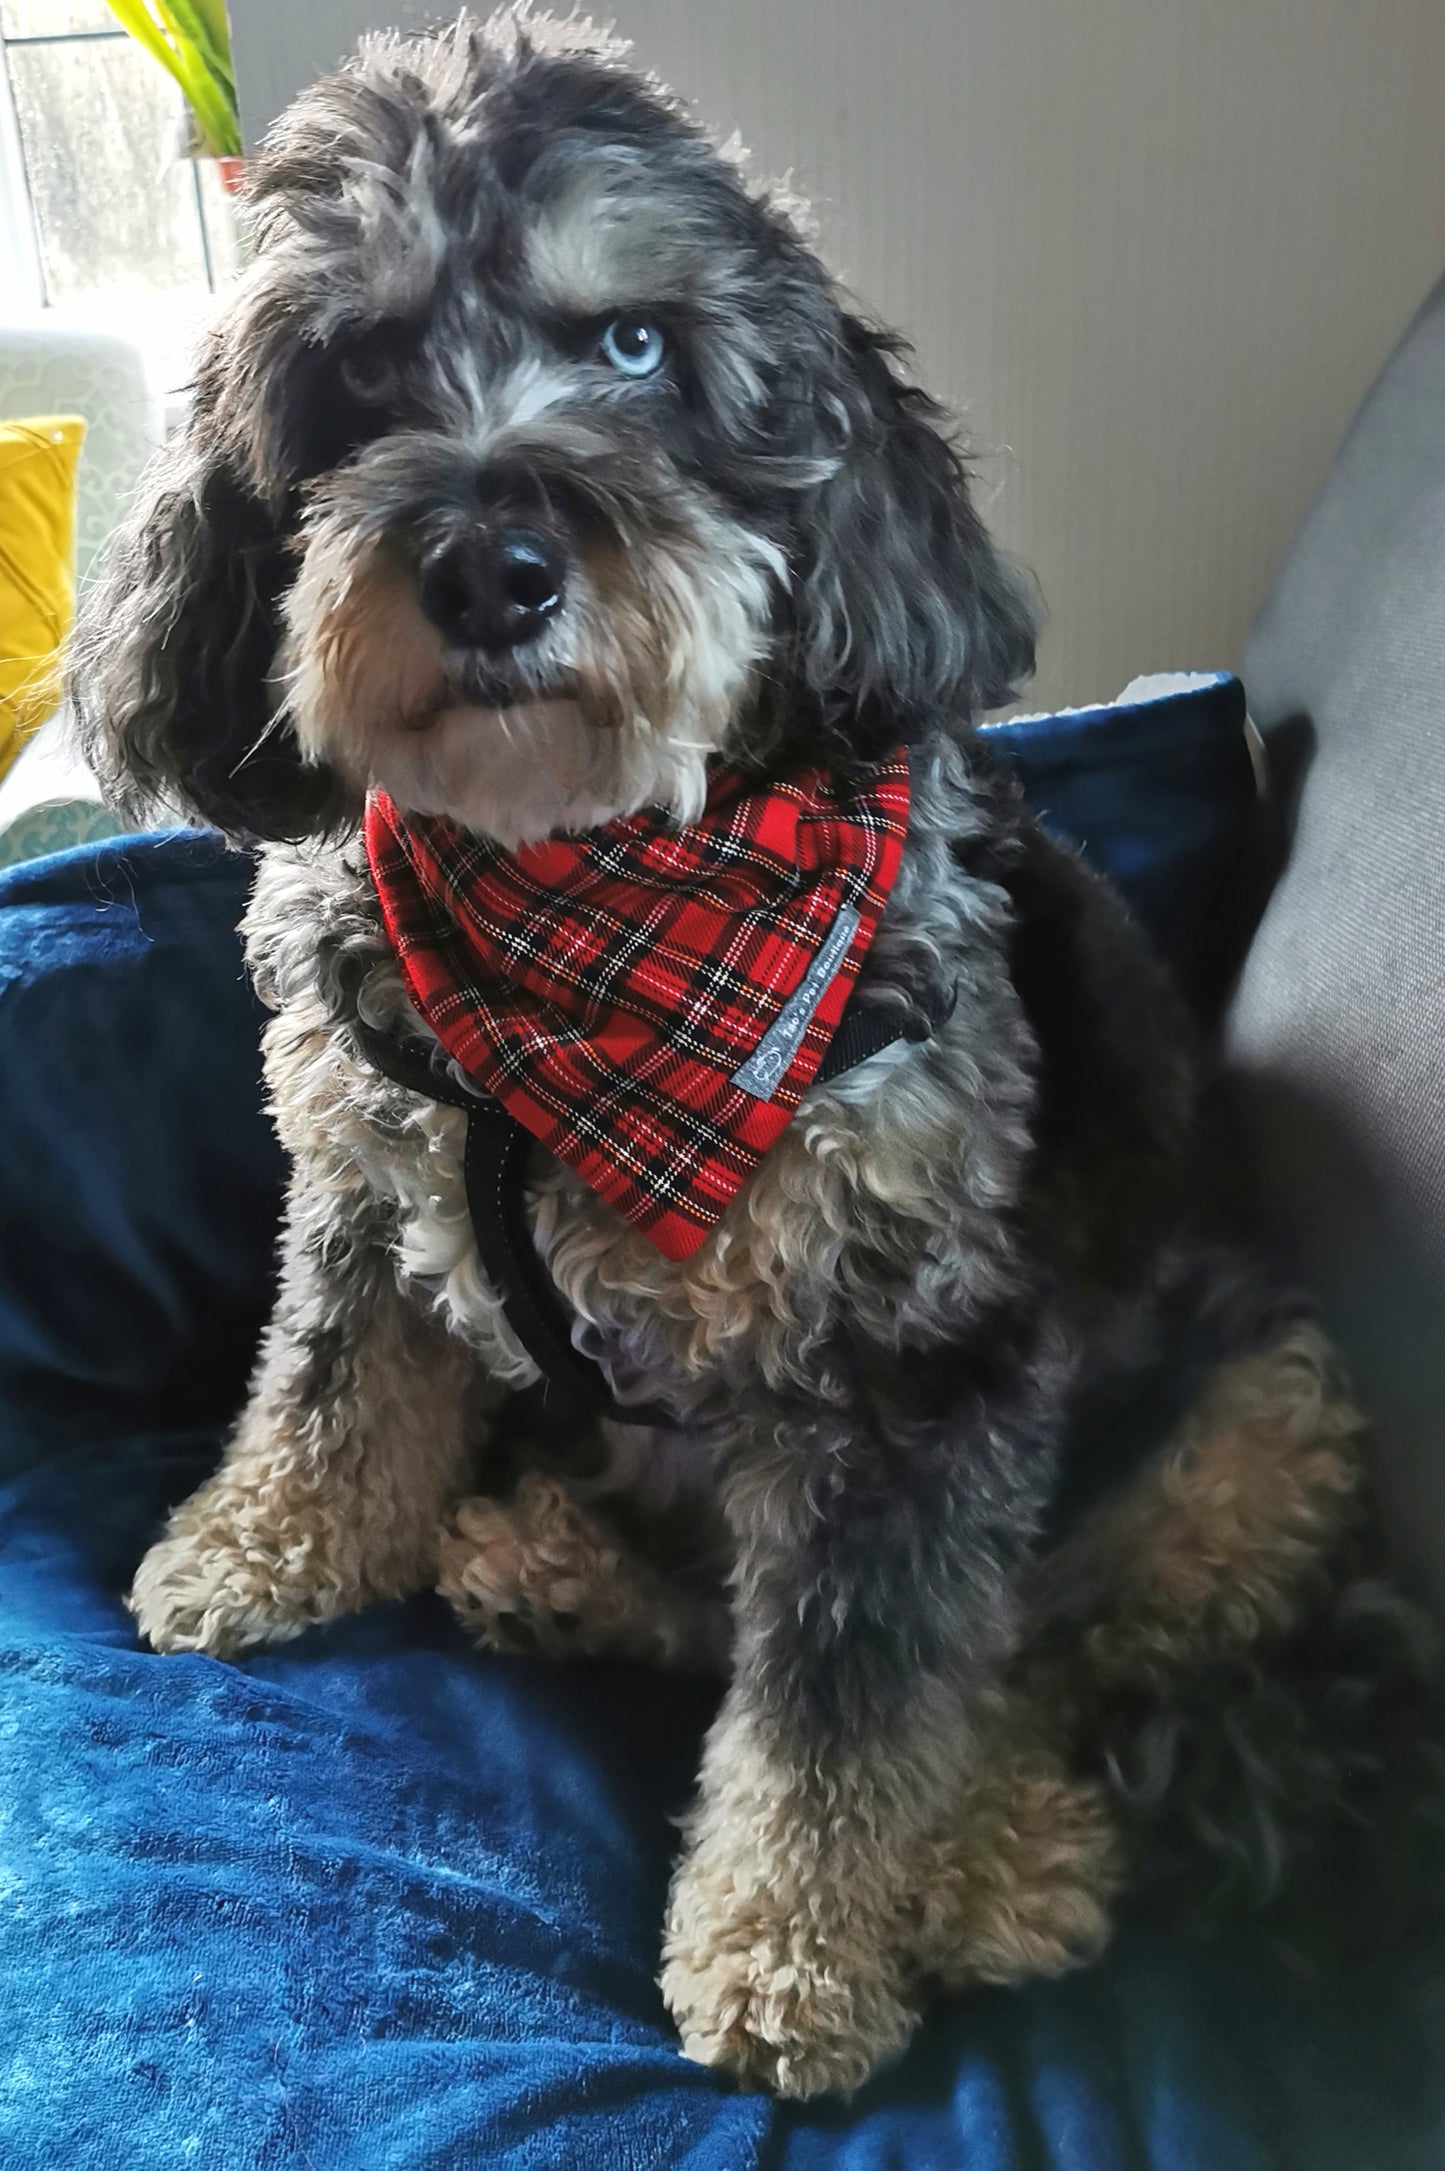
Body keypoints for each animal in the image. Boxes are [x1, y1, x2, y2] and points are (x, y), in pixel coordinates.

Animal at [73, 4, 1423, 2101]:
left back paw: (999, 1857)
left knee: (1030, 1656)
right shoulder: (365, 1179)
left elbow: (852, 1708)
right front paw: (260, 1549)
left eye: (634, 346)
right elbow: (328, 1386)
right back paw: (557, 1571)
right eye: (360, 363)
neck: (586, 891)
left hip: (1261, 1424)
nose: (494, 568)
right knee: (743, 1611)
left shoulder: (908, 1361)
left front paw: (792, 1956)